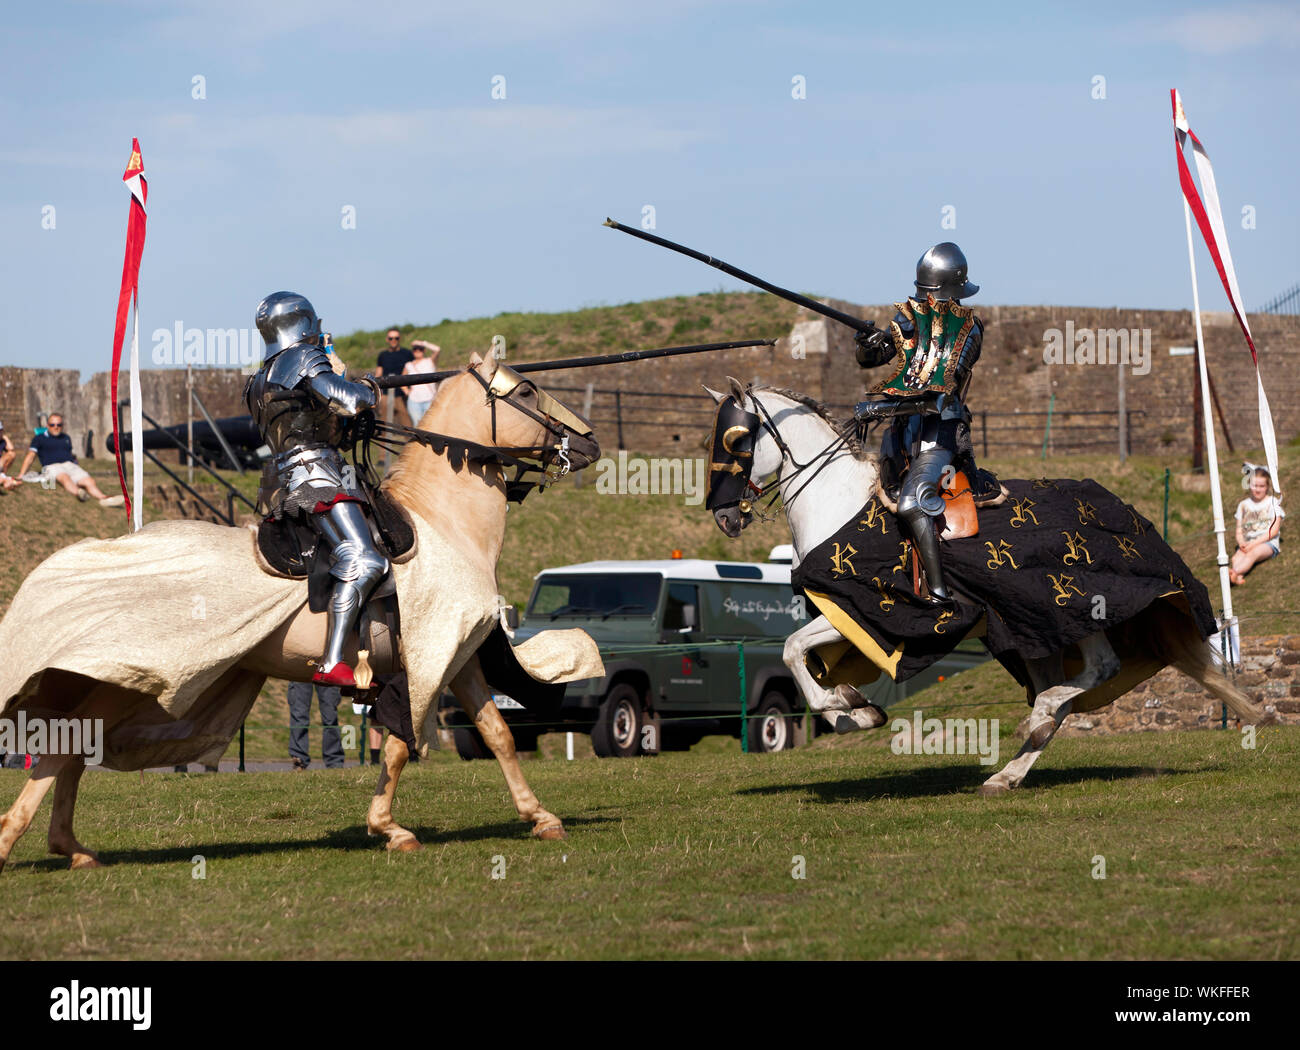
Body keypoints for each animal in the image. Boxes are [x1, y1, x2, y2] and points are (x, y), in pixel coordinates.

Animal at [0, 348, 598, 873]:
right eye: (526, 390)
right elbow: (401, 745)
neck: (442, 524)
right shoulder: (428, 657)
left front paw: (539, 817)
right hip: (124, 674)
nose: (589, 442)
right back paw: (19, 841)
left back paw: (69, 847)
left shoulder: (459, 655)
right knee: (67, 748)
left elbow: (495, 733)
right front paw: (390, 827)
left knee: (76, 747)